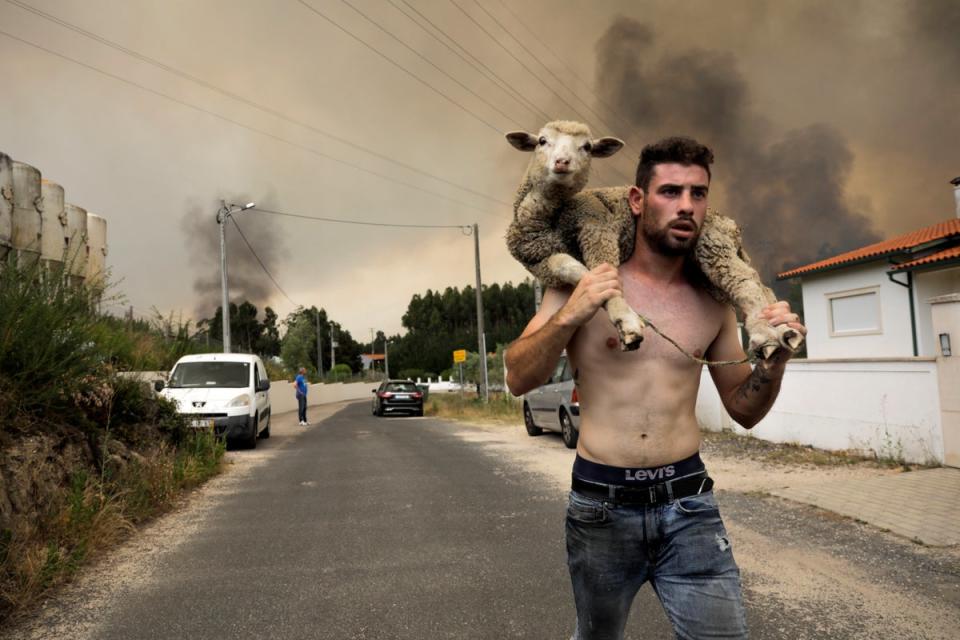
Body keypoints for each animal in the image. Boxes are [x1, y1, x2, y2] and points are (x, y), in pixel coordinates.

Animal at [502, 120, 804, 360]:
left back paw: (767, 335)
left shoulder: (597, 227)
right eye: (542, 141)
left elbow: (605, 269)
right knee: (758, 285)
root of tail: (729, 224)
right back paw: (783, 330)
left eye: (586, 147)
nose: (562, 162)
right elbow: (569, 267)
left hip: (711, 243)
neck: (546, 221)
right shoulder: (540, 262)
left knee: (745, 282)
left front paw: (627, 322)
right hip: (707, 267)